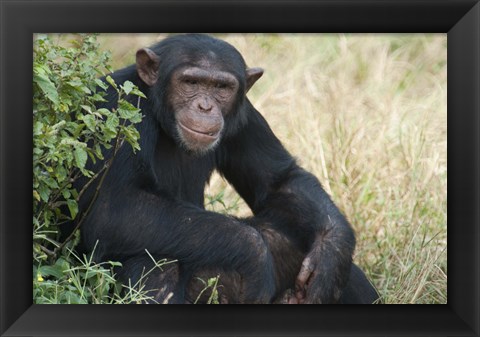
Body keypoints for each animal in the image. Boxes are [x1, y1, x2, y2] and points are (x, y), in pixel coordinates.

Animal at [68, 34, 382, 304]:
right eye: (190, 82)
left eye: (222, 88)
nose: (205, 106)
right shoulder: (120, 110)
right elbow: (116, 207)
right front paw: (256, 257)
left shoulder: (245, 115)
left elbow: (279, 181)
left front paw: (332, 252)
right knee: (156, 262)